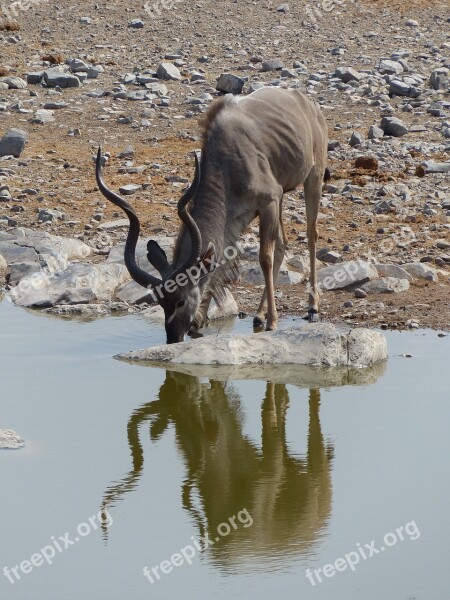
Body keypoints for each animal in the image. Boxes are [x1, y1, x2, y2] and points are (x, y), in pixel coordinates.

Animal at [96, 86, 326, 344]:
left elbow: (264, 258)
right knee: (284, 243)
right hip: (283, 197)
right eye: (161, 302)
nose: (173, 338)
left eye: (181, 301)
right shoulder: (244, 216)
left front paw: (272, 322)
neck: (226, 163)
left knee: (311, 234)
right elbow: (219, 262)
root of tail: (307, 103)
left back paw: (312, 307)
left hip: (312, 178)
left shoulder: (269, 200)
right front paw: (200, 323)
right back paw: (258, 315)